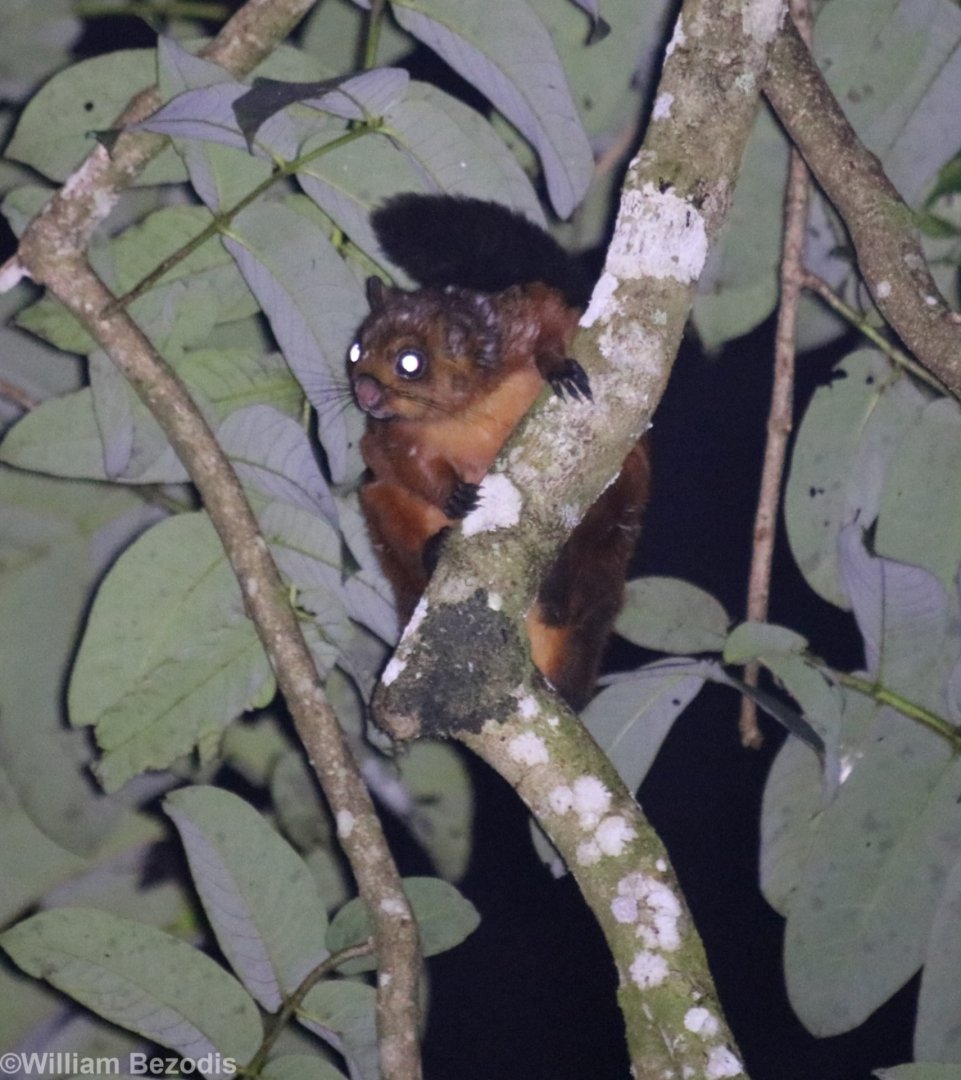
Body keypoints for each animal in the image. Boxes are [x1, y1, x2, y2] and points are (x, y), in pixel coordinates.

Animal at [347, 194, 650, 710]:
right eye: (355, 352)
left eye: (409, 362)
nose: (363, 391)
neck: (465, 405)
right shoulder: (389, 433)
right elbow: (388, 461)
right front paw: (451, 495)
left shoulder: (515, 324)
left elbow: (556, 317)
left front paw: (556, 364)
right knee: (377, 495)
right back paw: (434, 554)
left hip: (619, 509)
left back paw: (560, 589)